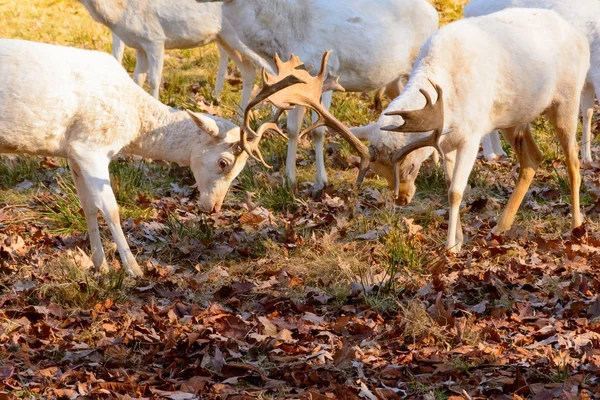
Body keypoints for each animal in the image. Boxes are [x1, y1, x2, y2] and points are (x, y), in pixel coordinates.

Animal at [76, 0, 254, 105]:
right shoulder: (140, 46)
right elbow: (137, 79)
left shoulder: (155, 39)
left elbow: (154, 80)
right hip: (224, 38)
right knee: (243, 67)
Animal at [218, 0, 438, 198]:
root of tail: (434, 13)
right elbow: (292, 129)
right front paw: (289, 182)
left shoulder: (326, 75)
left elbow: (317, 131)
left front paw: (319, 184)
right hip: (395, 79)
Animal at [350, 9, 588, 252]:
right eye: (378, 172)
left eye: (411, 167)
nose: (402, 199)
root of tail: (580, 38)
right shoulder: (447, 143)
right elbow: (449, 185)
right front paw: (458, 242)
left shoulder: (472, 137)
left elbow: (456, 191)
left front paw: (449, 247)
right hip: (513, 119)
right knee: (533, 158)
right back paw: (499, 228)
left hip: (567, 100)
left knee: (573, 161)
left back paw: (577, 227)